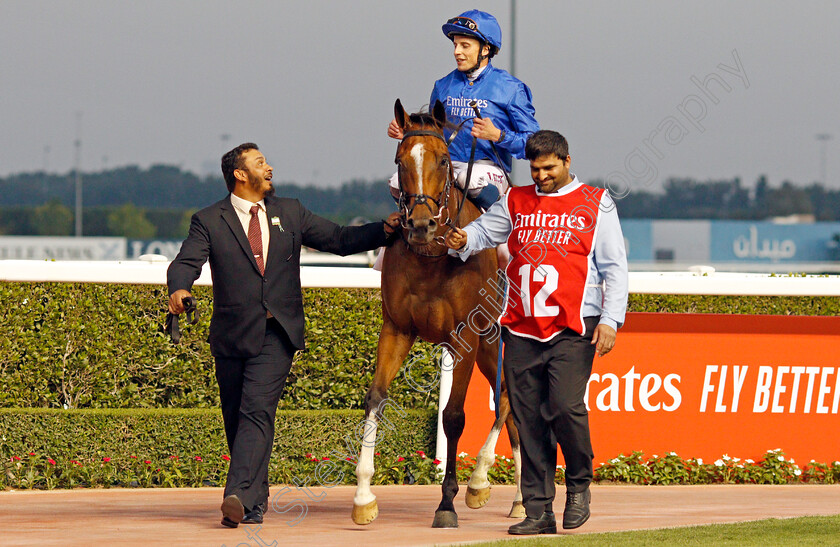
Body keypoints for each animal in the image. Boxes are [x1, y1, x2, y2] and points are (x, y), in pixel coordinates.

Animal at [352, 100, 520, 528]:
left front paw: (448, 502)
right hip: (489, 346)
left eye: (444, 160)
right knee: (509, 404)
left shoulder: (464, 336)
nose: (420, 224)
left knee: (507, 399)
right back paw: (519, 500)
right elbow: (375, 398)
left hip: (494, 340)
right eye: (400, 161)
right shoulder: (396, 328)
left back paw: (483, 481)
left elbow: (454, 416)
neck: (433, 255)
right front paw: (363, 496)